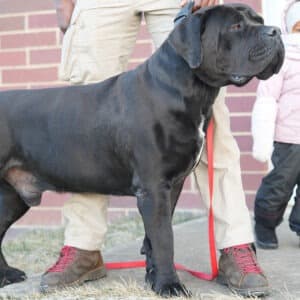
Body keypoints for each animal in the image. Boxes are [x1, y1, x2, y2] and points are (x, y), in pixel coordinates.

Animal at [0, 2, 284, 298]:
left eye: (259, 20)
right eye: (236, 26)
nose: (276, 31)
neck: (185, 89)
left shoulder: (171, 186)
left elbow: (153, 238)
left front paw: (154, 279)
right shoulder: (154, 187)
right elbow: (164, 238)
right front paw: (170, 285)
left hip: (12, 195)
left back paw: (7, 275)